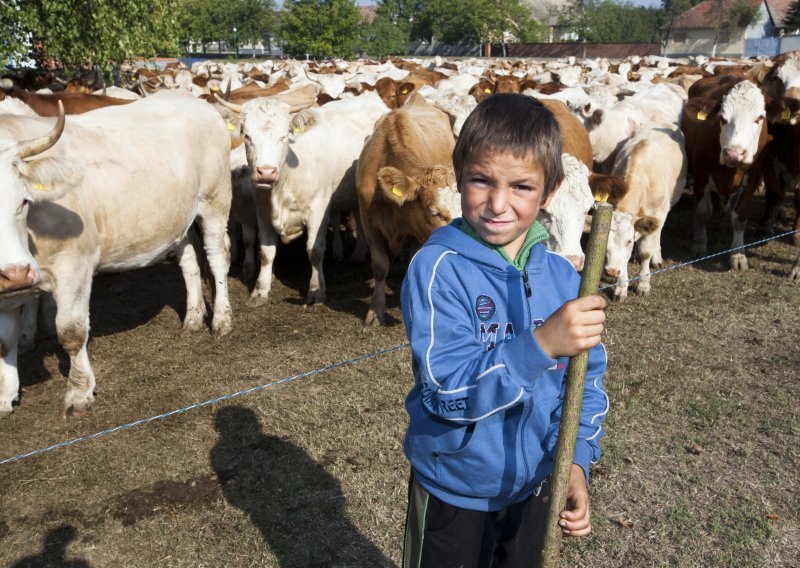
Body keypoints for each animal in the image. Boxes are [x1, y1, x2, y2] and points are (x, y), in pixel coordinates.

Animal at [0, 92, 231, 418]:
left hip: (214, 200)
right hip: (177, 217)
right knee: (189, 265)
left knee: (216, 257)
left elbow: (71, 333)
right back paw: (194, 318)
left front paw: (79, 394)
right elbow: (4, 342)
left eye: (24, 201)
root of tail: (194, 100)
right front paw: (5, 397)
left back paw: (221, 319)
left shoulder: (74, 266)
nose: (16, 274)